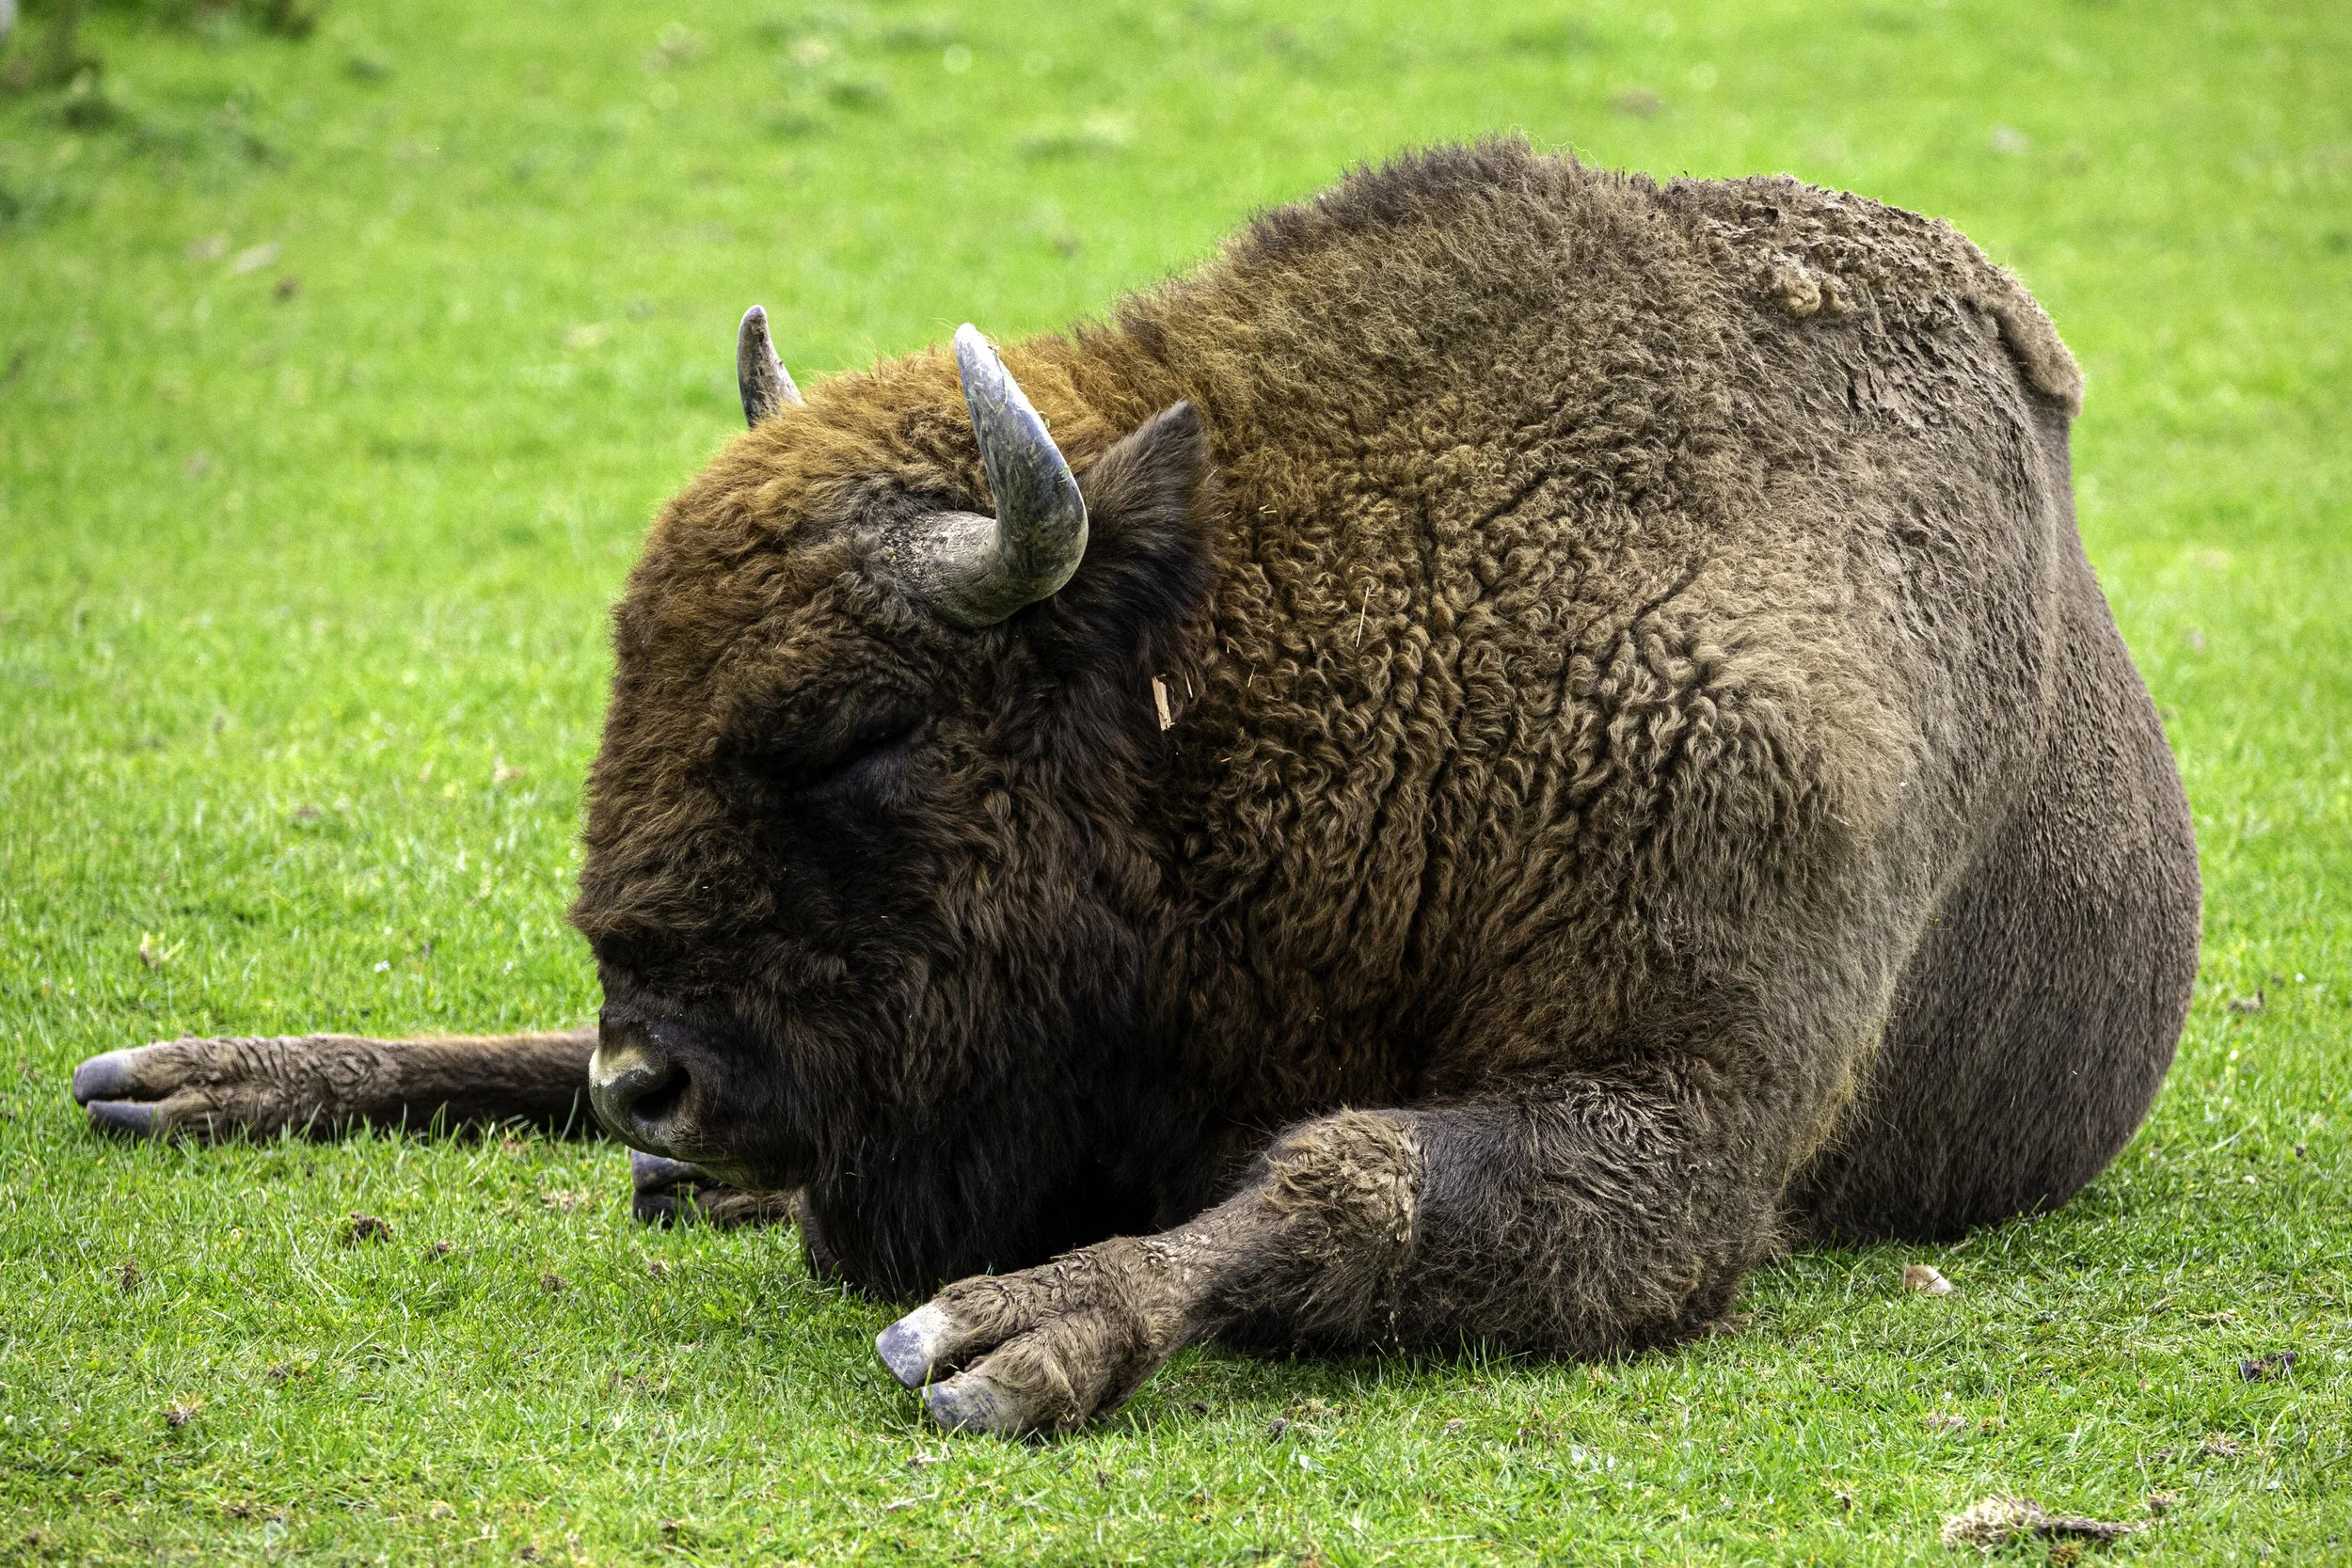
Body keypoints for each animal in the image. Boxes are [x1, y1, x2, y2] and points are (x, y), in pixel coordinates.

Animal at [72, 141, 2198, 1436]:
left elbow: (1342, 1178)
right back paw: (208, 1079)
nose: (648, 1075)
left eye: (863, 733)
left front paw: (1005, 1335)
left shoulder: (1682, 1119)